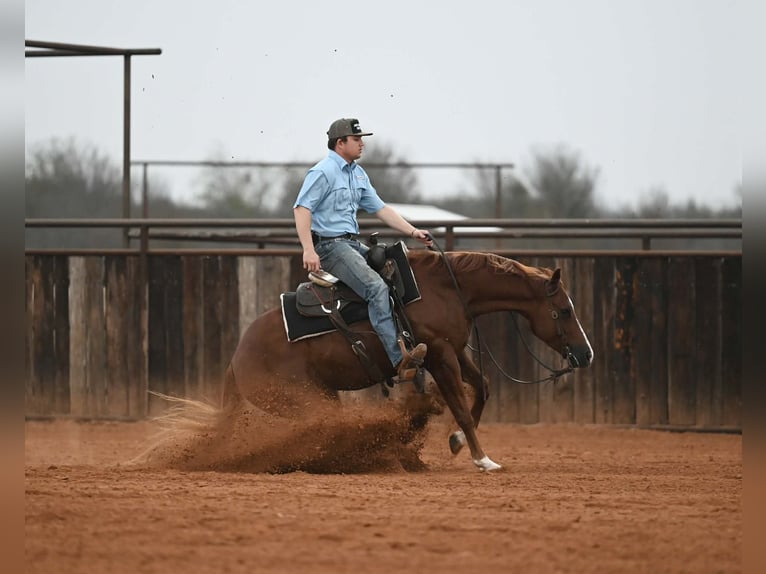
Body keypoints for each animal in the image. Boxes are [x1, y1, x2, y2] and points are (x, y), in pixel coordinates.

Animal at [223, 249, 594, 471]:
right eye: (564, 310)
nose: (586, 354)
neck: (447, 289)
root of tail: (238, 355)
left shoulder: (455, 350)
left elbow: (483, 386)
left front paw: (457, 442)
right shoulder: (440, 356)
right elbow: (460, 408)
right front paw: (482, 459)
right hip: (303, 400)